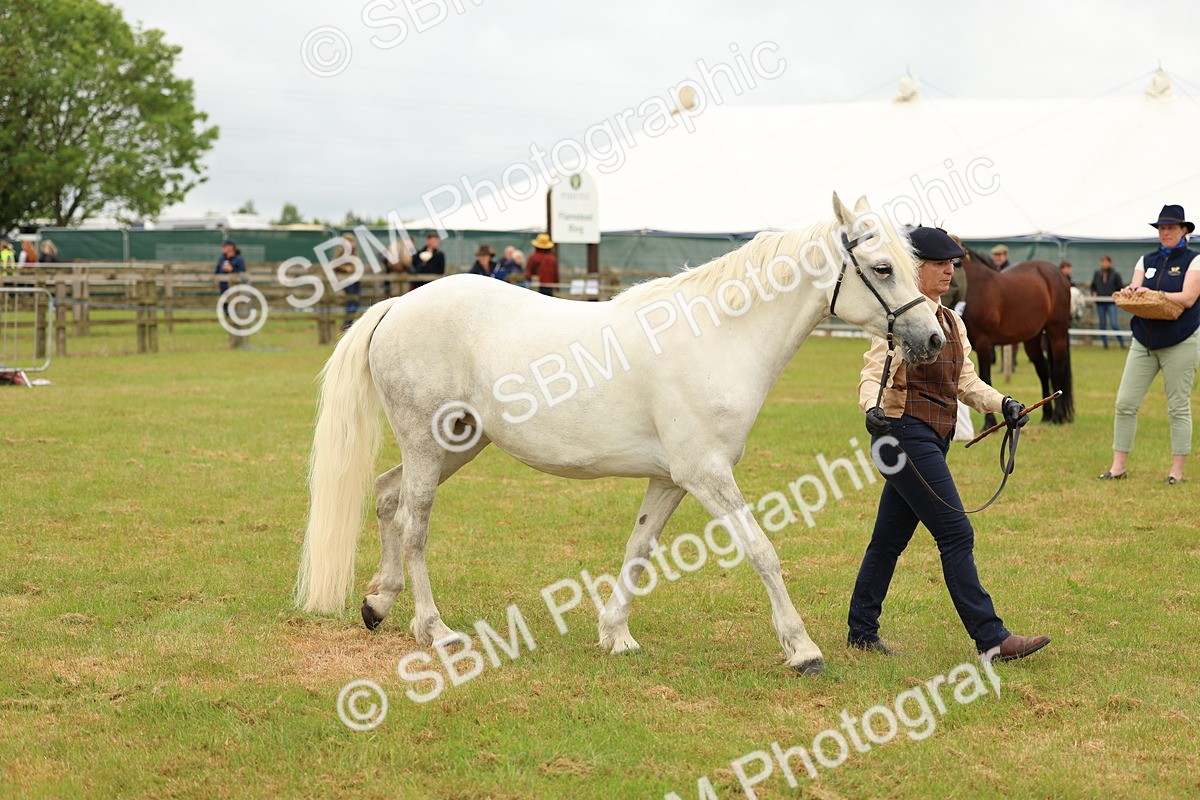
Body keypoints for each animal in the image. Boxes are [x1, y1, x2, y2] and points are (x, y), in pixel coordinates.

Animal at [293, 193, 946, 675]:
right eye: (882, 268)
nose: (933, 338)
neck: (718, 337)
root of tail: (398, 305)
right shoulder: (708, 475)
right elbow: (762, 550)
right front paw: (802, 649)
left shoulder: (671, 480)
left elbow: (639, 549)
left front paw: (616, 634)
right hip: (429, 446)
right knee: (414, 522)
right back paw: (434, 629)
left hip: (457, 443)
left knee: (386, 496)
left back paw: (378, 603)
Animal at [959, 247, 1075, 427]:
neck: (973, 285)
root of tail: (1059, 274)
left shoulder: (984, 343)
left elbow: (985, 378)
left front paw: (990, 422)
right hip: (1032, 340)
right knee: (1043, 371)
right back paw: (1046, 415)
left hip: (1057, 333)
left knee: (1057, 371)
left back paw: (1057, 416)